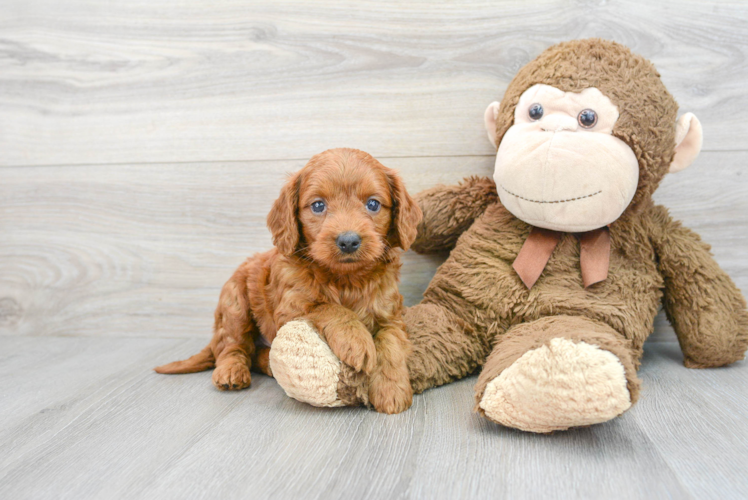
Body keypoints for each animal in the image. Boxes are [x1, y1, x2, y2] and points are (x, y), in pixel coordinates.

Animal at [153, 147, 420, 414]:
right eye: (318, 205)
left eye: (373, 204)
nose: (348, 241)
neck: (345, 279)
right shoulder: (291, 307)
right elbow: (328, 308)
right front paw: (357, 341)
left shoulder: (390, 313)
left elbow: (391, 343)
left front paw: (392, 391)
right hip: (235, 304)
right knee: (233, 346)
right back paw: (231, 372)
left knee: (256, 352)